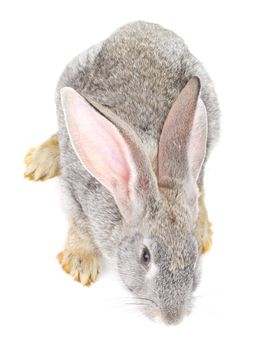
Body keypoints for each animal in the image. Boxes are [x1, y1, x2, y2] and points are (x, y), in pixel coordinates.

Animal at [24, 20, 219, 324]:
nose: (172, 319)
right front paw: (80, 264)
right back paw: (39, 161)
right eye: (145, 257)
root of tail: (143, 26)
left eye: (194, 253)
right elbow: (79, 224)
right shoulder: (75, 192)